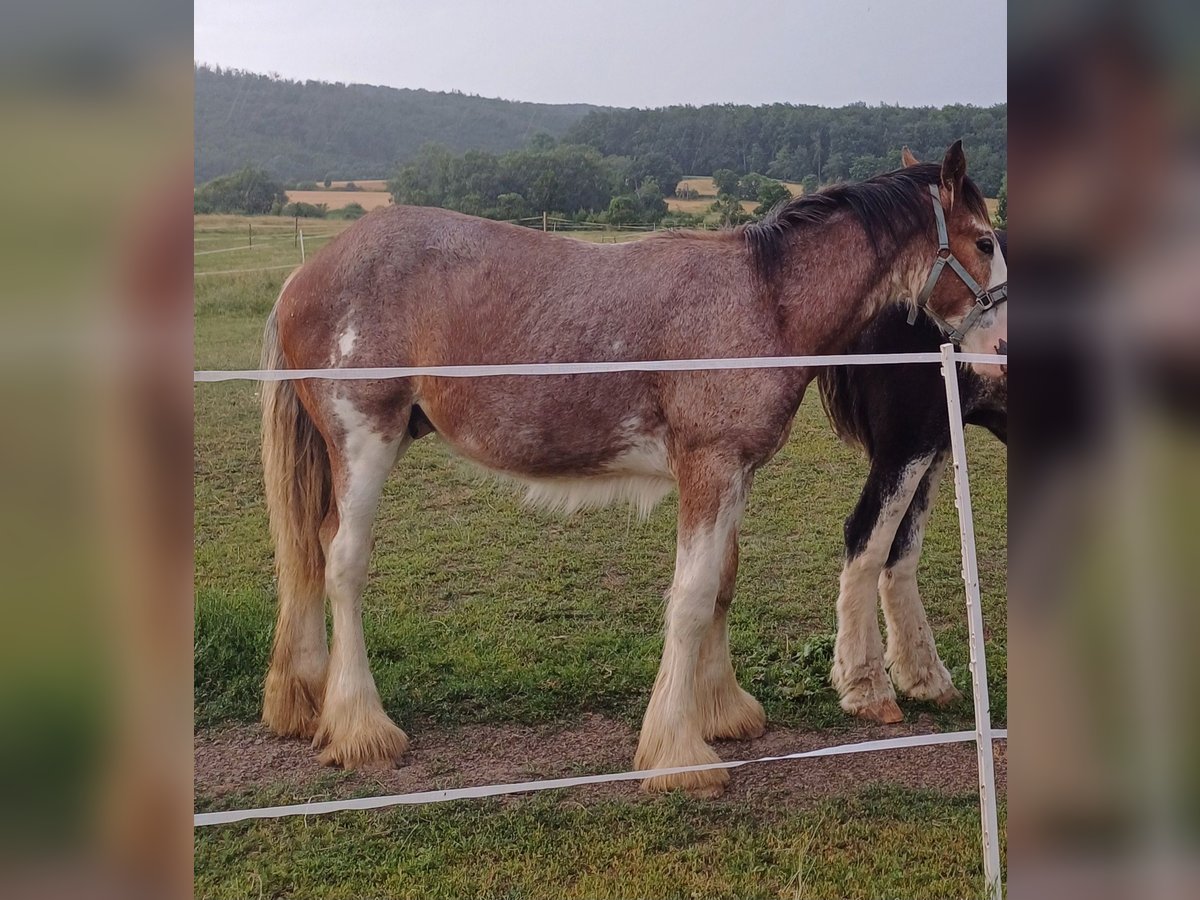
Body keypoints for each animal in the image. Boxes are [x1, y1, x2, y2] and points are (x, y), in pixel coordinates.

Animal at [820, 225, 1008, 724]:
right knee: (866, 539)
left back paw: (924, 676)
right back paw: (867, 685)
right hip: (910, 441)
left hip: (933, 442)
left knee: (899, 551)